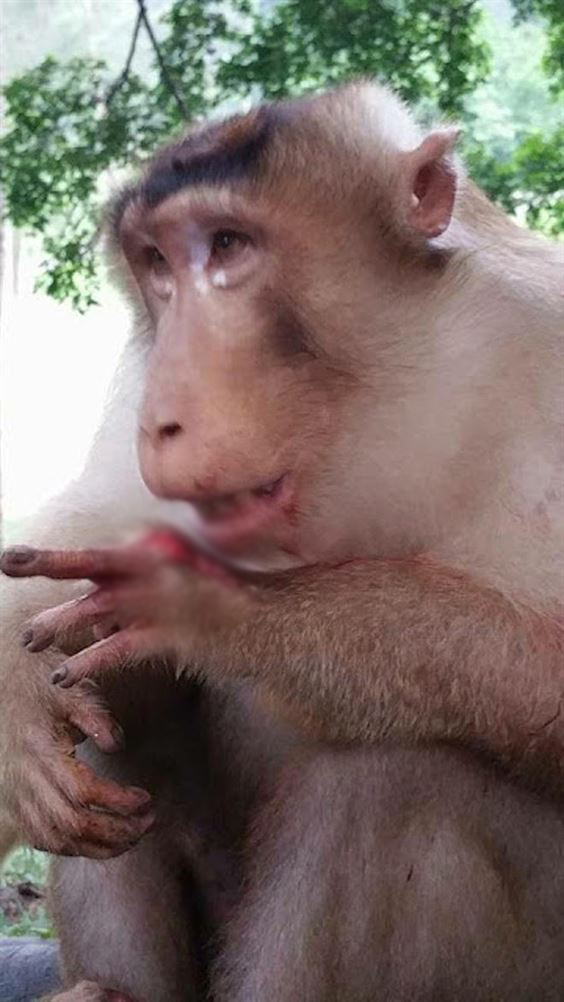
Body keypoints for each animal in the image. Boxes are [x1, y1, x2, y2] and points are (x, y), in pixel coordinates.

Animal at [1, 80, 564, 1001]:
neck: (380, 403)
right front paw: (14, 707)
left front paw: (229, 613)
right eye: (156, 265)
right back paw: (103, 991)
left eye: (229, 245)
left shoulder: (541, 340)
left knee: (398, 778)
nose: (162, 420)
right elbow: (78, 547)